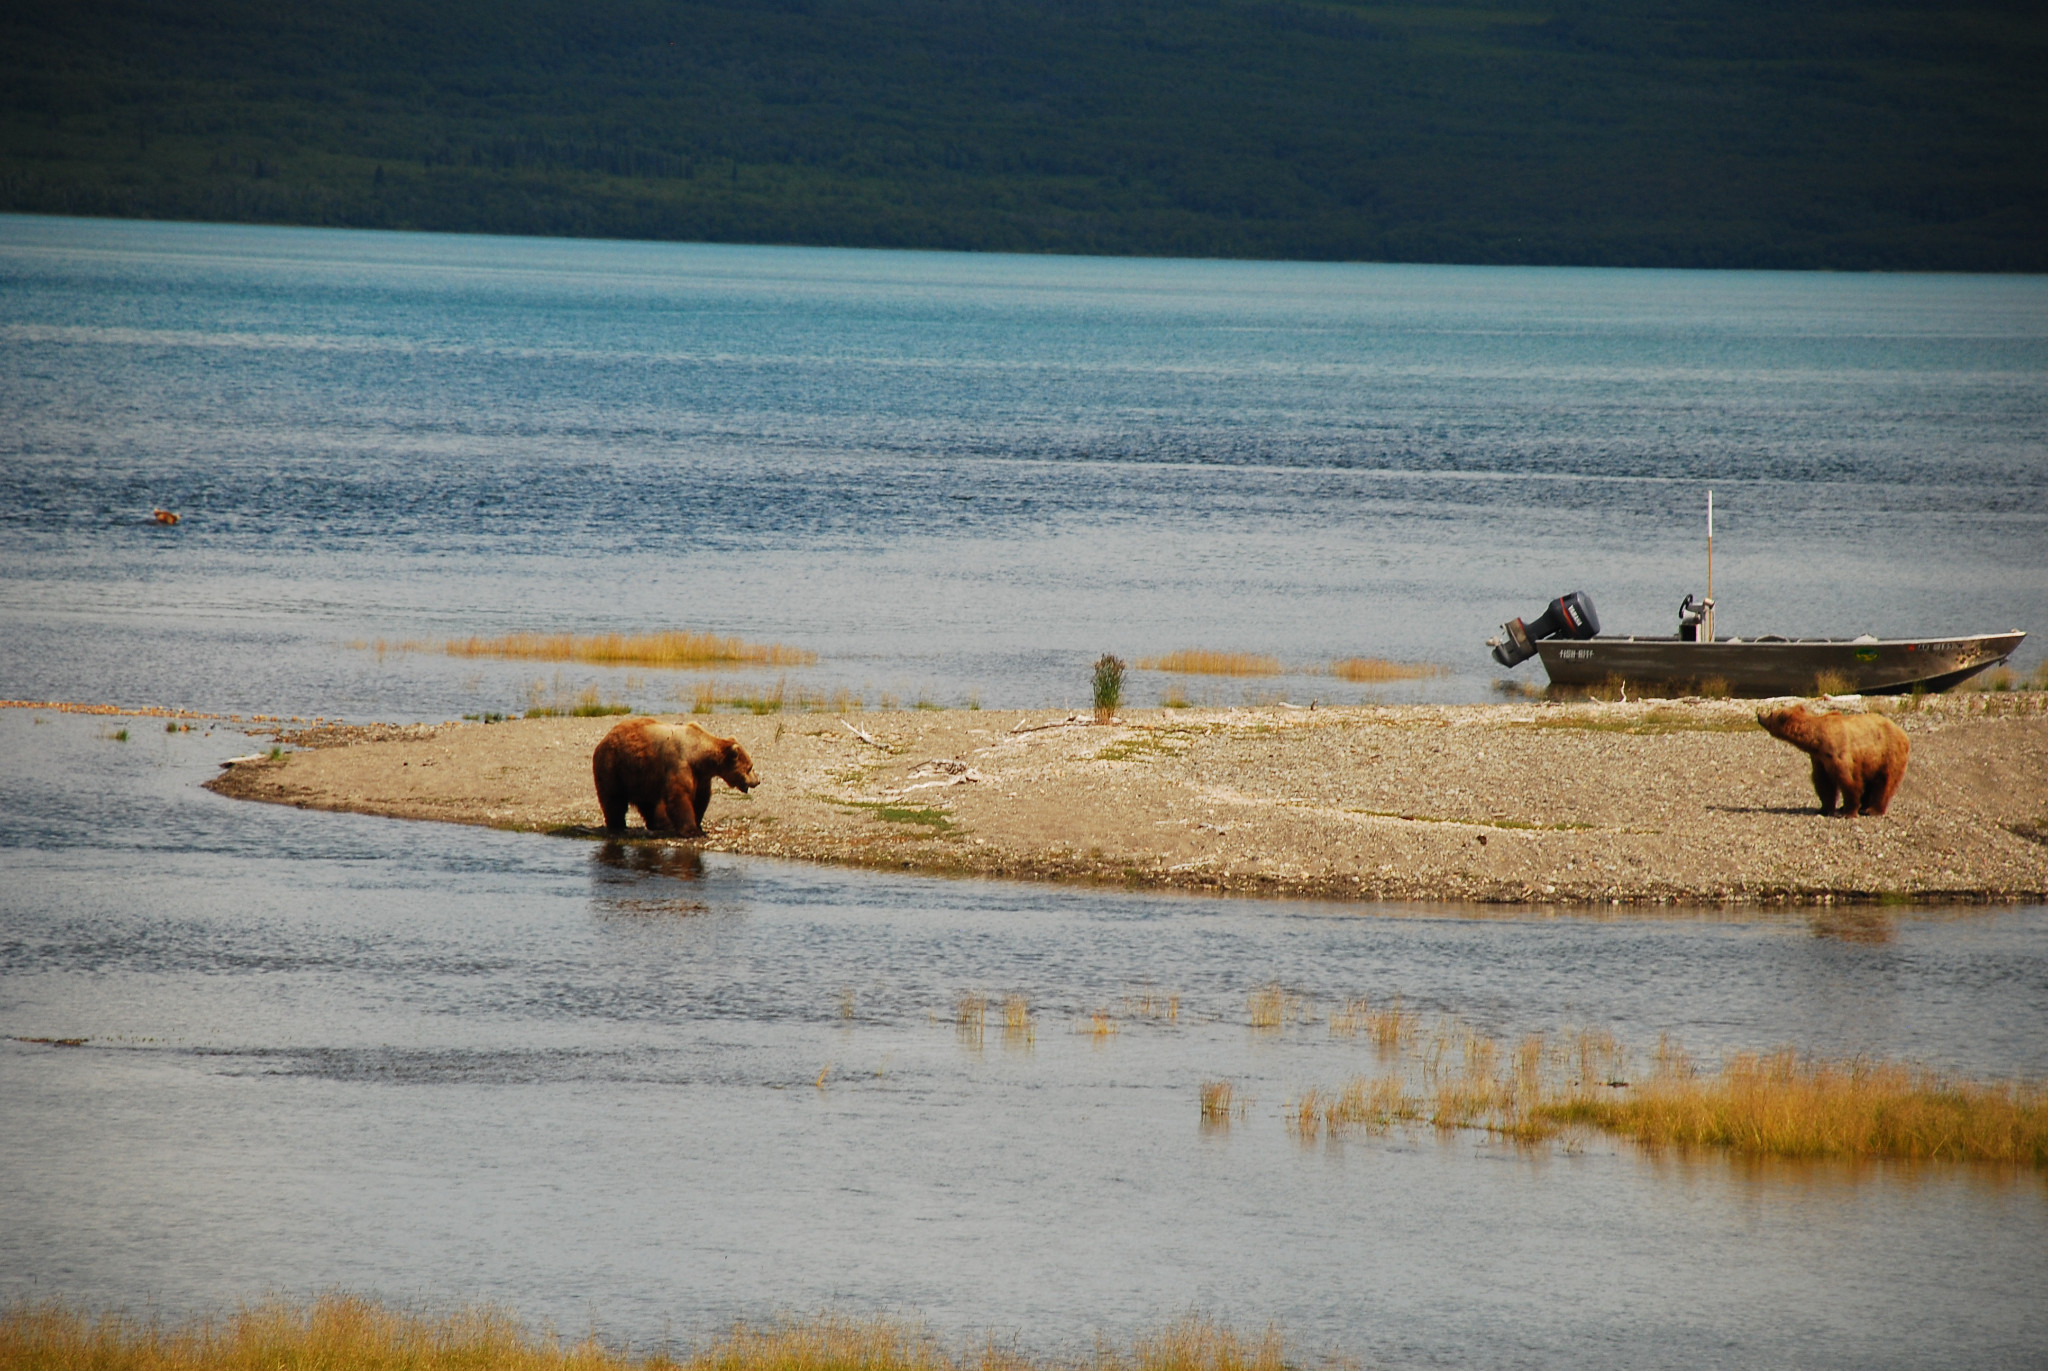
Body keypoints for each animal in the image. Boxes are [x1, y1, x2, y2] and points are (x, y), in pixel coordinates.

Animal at [593, 717, 761, 836]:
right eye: (750, 767)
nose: (757, 781)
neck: (698, 755)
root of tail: (603, 739)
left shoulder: (701, 776)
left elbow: (701, 797)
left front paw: (698, 824)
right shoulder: (680, 765)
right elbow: (680, 795)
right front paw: (692, 830)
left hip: (641, 773)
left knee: (648, 802)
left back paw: (660, 824)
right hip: (614, 765)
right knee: (614, 798)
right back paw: (618, 825)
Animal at [1753, 704, 1908, 811]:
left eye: (1771, 713)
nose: (1759, 715)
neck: (1817, 740)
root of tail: (1903, 733)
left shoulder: (1838, 753)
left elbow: (1848, 779)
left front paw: (1848, 810)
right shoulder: (1819, 758)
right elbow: (1823, 782)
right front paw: (1825, 808)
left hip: (1889, 755)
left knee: (1885, 782)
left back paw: (1872, 810)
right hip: (1871, 762)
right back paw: (1864, 806)